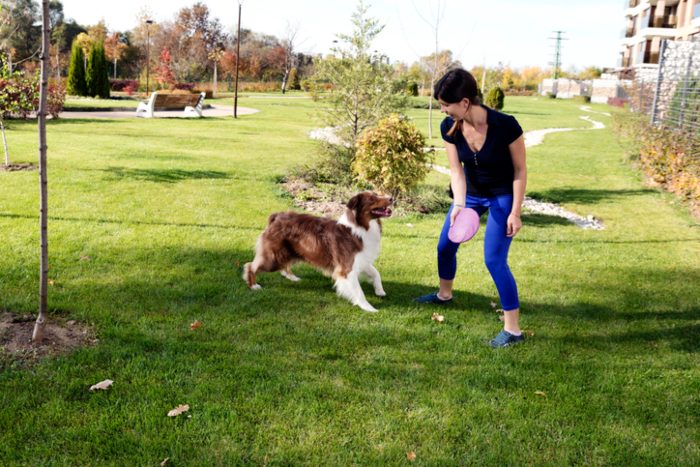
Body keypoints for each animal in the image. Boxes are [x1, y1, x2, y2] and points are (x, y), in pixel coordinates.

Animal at [242, 192, 394, 312]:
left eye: (377, 194)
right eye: (372, 199)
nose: (392, 198)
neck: (360, 228)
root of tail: (276, 217)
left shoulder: (361, 260)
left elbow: (376, 273)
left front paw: (380, 291)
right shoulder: (346, 268)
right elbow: (358, 291)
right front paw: (369, 308)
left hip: (288, 252)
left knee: (284, 266)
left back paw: (292, 277)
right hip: (273, 258)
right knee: (250, 265)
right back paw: (253, 285)